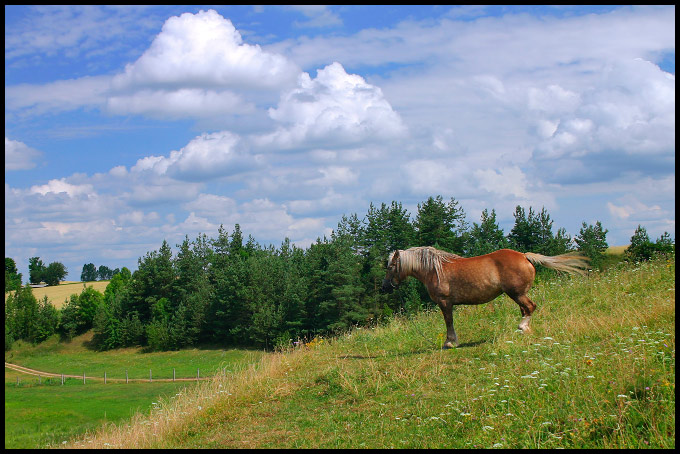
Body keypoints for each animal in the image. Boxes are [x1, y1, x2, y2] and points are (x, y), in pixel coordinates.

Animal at [382, 247, 588, 350]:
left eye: (391, 266)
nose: (385, 287)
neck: (434, 269)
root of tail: (524, 256)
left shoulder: (445, 302)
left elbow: (449, 322)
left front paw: (450, 342)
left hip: (516, 293)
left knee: (530, 307)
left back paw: (522, 327)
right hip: (517, 294)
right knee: (526, 309)